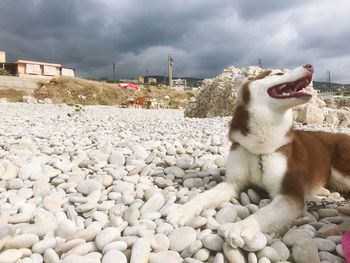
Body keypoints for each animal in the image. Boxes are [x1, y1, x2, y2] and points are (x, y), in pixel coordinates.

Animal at [167, 64, 350, 250]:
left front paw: (241, 227)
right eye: (278, 73)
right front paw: (183, 210)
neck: (260, 150)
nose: (309, 66)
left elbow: (263, 213)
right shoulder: (232, 182)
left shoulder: (290, 193)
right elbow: (205, 196)